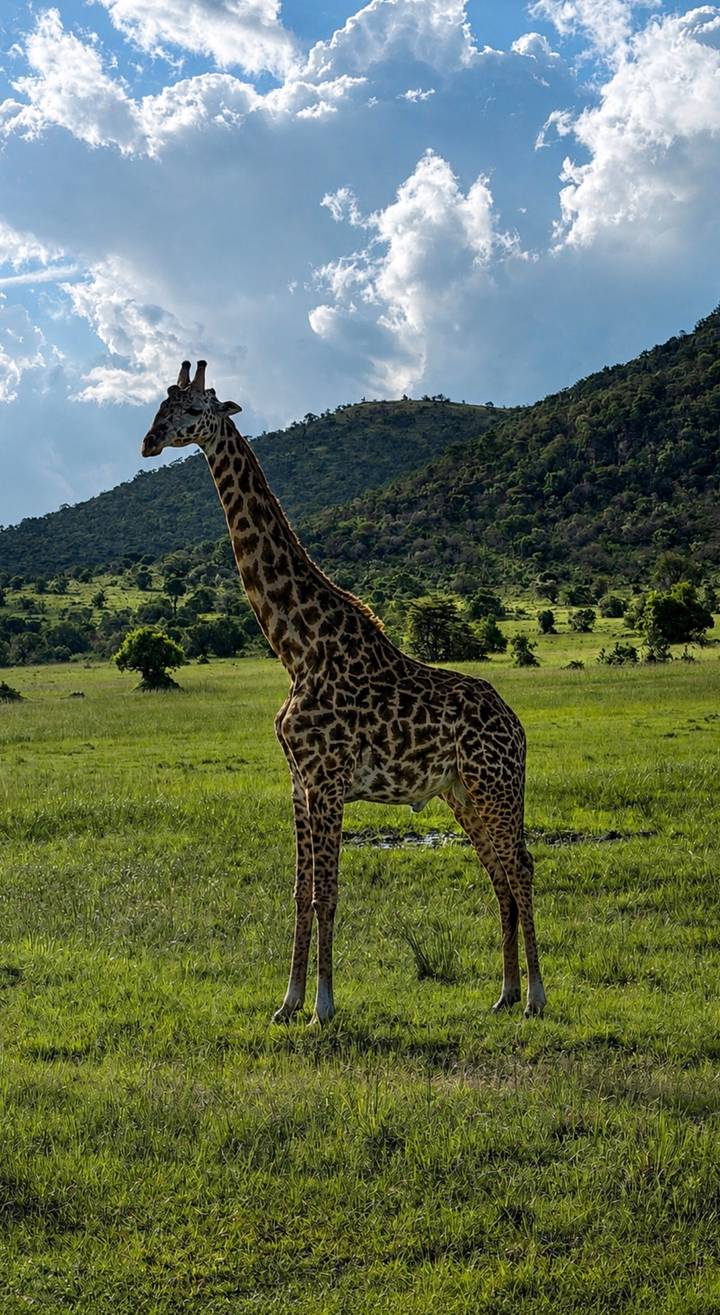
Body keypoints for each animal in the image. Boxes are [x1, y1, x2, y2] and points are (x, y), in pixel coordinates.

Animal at [141, 361, 546, 1024]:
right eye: (160, 406)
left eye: (195, 410)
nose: (149, 441)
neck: (298, 649)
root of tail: (516, 725)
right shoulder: (299, 782)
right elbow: (299, 892)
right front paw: (286, 1003)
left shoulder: (328, 782)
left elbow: (327, 895)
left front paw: (323, 1007)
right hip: (462, 793)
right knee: (499, 876)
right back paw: (505, 993)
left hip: (496, 787)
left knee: (522, 868)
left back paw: (536, 995)